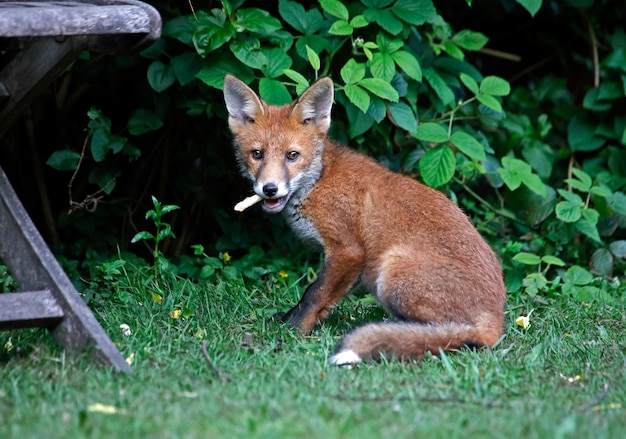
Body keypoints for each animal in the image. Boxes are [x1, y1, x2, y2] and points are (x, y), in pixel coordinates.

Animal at [222, 74, 504, 366]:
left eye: (292, 155)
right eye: (257, 154)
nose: (269, 189)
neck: (319, 181)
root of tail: (495, 319)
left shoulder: (348, 251)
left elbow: (314, 294)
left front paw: (294, 332)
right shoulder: (351, 267)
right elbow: (318, 297)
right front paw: (290, 321)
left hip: (392, 272)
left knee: (445, 333)